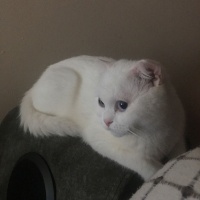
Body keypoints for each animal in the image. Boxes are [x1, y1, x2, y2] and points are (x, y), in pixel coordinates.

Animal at [19, 55, 185, 180]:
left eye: (122, 105)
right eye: (101, 103)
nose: (106, 122)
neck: (152, 129)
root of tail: (31, 88)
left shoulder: (178, 138)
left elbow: (179, 154)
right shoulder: (101, 141)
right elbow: (148, 166)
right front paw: (158, 172)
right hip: (68, 81)